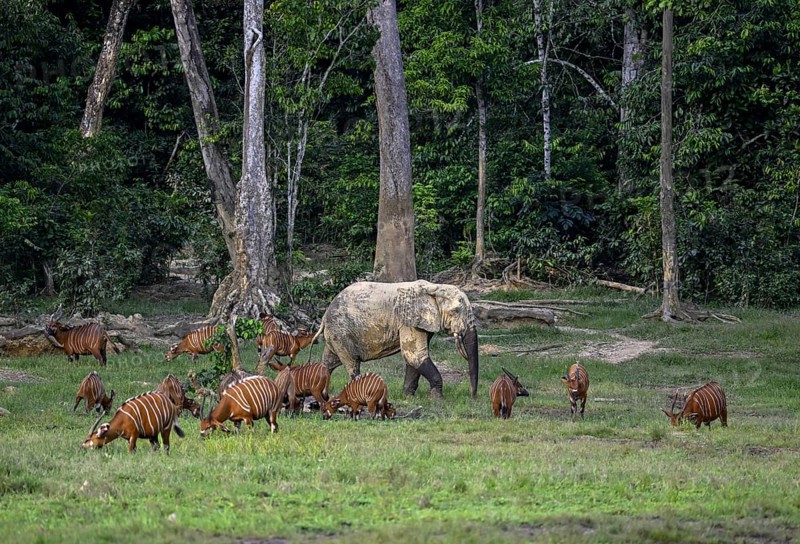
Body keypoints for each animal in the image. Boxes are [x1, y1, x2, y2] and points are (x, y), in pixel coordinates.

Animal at [313, 280, 479, 399]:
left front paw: (408, 397)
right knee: (352, 364)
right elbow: (415, 356)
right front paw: (437, 399)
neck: (434, 288)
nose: (472, 397)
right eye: (456, 311)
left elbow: (414, 357)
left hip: (336, 334)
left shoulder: (421, 322)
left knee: (329, 363)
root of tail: (324, 316)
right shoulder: (407, 319)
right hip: (340, 331)